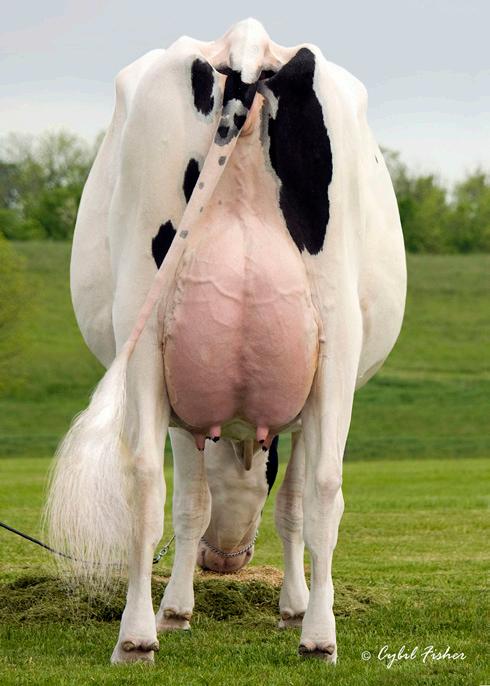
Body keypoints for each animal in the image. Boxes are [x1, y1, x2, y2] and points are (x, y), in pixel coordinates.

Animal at [45, 18, 406, 664]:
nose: (228, 560)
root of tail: (247, 40)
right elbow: (257, 503)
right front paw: (273, 607)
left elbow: (212, 501)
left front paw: (191, 608)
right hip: (332, 335)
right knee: (319, 488)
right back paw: (313, 636)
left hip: (152, 326)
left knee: (147, 480)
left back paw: (139, 635)